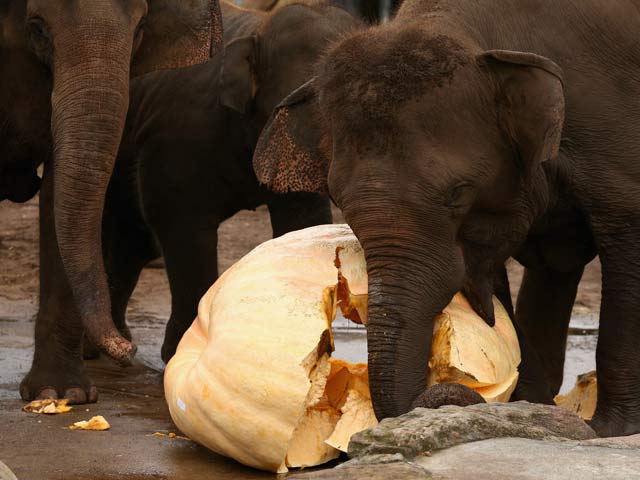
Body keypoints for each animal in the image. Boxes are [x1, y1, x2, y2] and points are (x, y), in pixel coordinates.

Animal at [252, 0, 640, 436]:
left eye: (458, 192)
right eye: (336, 195)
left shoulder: (611, 137)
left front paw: (607, 430)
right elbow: (498, 270)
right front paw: (531, 405)